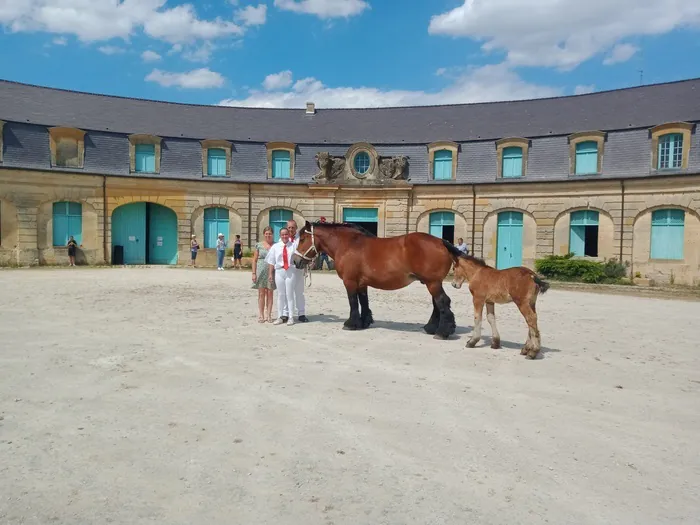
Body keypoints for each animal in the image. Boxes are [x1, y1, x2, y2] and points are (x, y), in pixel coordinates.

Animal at [292, 219, 460, 338]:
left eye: (302, 239)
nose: (295, 260)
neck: (348, 244)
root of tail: (441, 242)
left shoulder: (350, 281)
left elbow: (353, 302)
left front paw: (351, 323)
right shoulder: (361, 283)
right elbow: (363, 301)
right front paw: (364, 322)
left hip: (432, 283)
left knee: (442, 302)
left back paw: (442, 332)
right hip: (432, 282)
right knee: (437, 304)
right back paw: (431, 328)